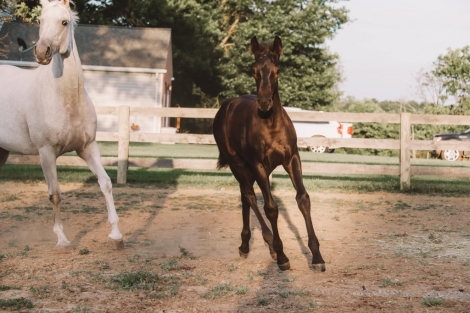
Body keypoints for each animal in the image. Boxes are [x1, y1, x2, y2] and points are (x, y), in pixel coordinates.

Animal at [0, 0, 124, 249]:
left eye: (64, 22)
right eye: (40, 20)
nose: (41, 52)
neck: (66, 99)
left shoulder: (87, 148)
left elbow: (105, 183)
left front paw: (116, 235)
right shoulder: (46, 153)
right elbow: (55, 193)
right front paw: (62, 239)